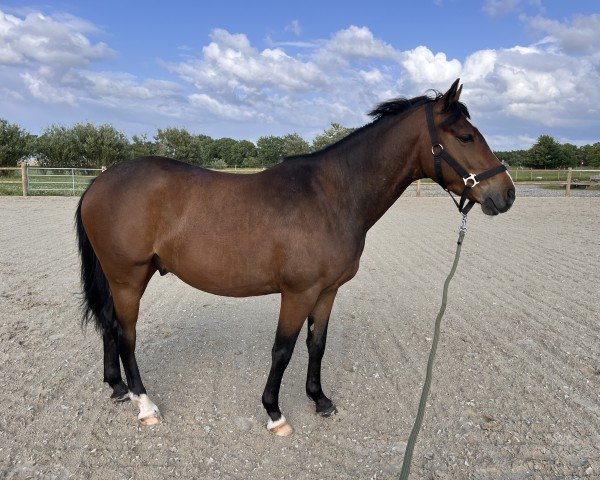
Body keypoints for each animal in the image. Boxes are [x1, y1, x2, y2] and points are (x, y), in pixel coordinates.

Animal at [75, 79, 516, 436]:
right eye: (465, 137)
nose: (506, 194)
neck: (330, 196)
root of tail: (100, 182)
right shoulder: (298, 293)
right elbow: (282, 350)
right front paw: (275, 413)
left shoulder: (327, 291)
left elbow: (316, 344)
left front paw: (319, 399)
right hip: (129, 278)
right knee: (126, 334)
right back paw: (145, 405)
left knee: (110, 325)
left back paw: (117, 388)